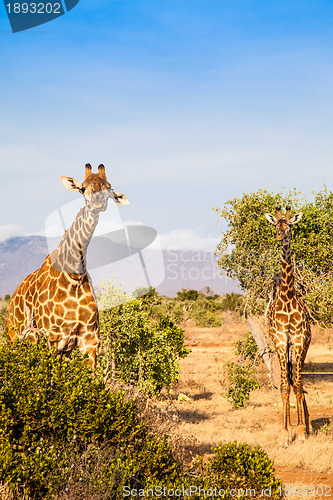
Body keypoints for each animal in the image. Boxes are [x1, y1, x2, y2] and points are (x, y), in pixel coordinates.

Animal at [6, 164, 128, 368]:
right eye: (83, 189)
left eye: (108, 188)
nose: (97, 203)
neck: (74, 278)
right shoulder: (51, 338)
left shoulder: (90, 339)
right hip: (15, 340)